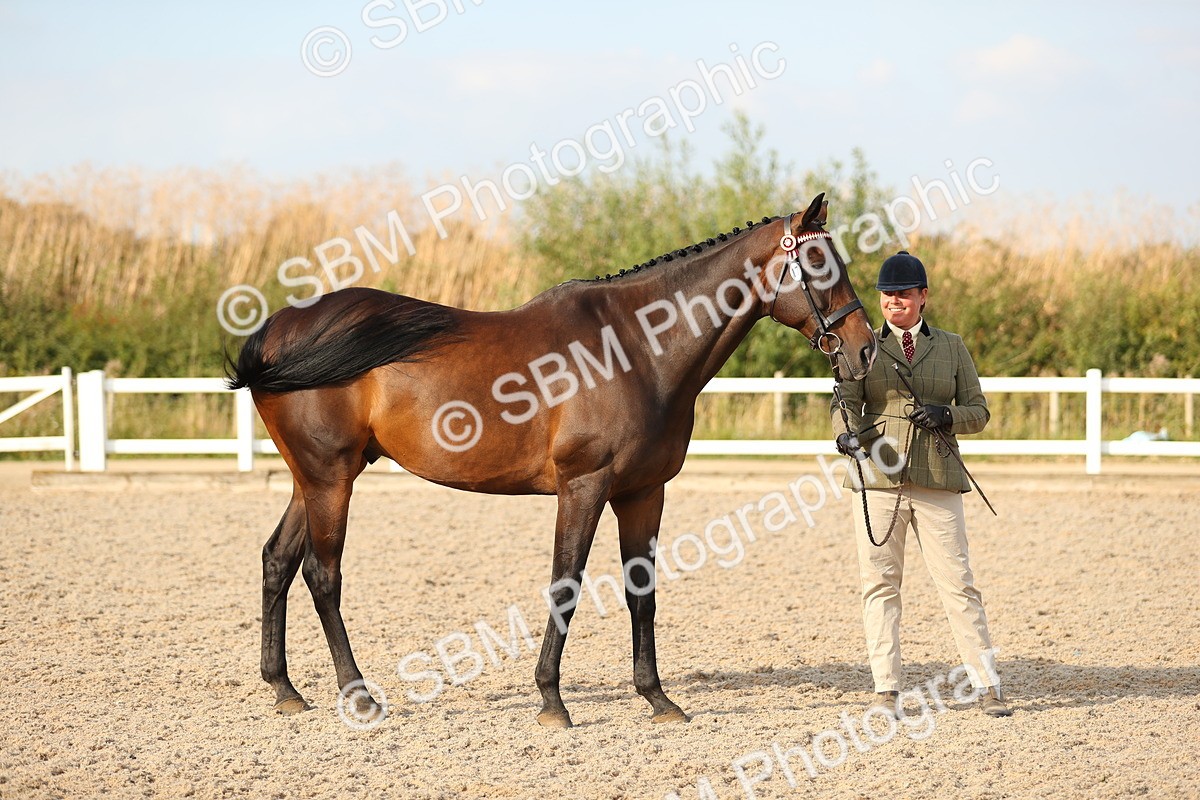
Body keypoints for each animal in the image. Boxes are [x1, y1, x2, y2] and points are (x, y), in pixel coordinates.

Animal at [227, 193, 877, 728]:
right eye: (819, 264)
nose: (866, 348)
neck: (635, 349)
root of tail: (277, 329)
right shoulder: (584, 486)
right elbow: (566, 582)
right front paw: (551, 700)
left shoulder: (644, 492)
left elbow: (641, 590)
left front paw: (657, 698)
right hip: (330, 478)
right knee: (323, 573)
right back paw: (357, 694)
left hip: (312, 478)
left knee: (277, 559)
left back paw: (285, 690)